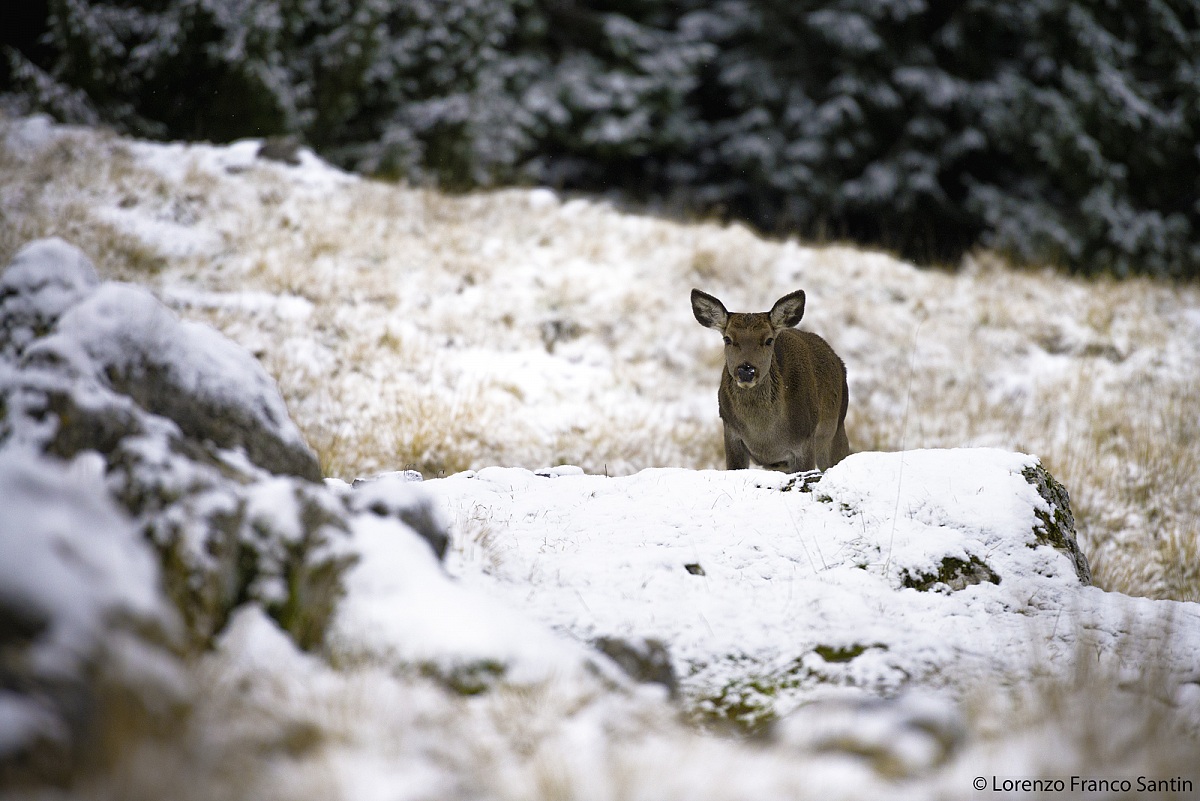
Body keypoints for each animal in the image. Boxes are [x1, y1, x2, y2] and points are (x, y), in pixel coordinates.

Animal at [691, 288, 850, 473]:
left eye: (769, 340)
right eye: (727, 339)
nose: (746, 371)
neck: (764, 438)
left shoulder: (806, 440)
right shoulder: (730, 432)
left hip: (837, 429)